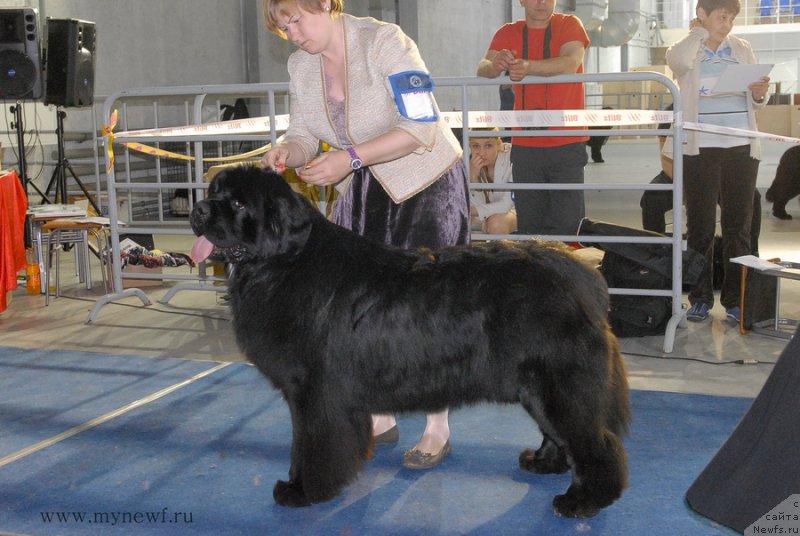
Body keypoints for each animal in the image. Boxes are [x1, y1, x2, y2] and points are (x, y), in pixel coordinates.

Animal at [189, 165, 632, 516]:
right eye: (214, 192)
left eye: (239, 204)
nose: (198, 210)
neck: (285, 262)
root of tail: (577, 273)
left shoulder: (314, 393)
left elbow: (310, 445)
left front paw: (302, 490)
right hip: (536, 387)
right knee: (558, 434)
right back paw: (543, 463)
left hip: (559, 386)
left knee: (596, 443)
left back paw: (584, 500)